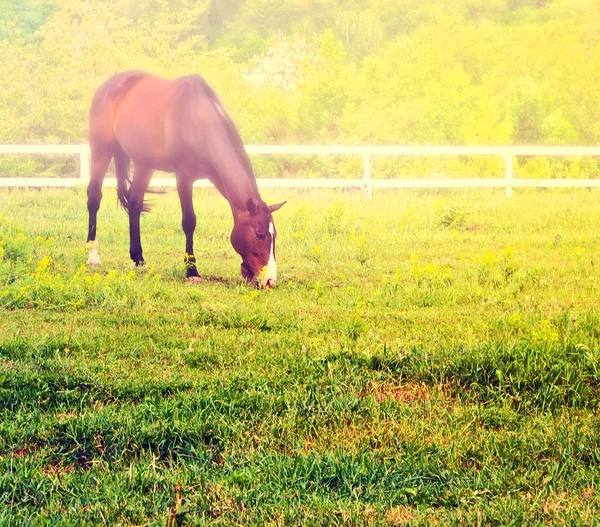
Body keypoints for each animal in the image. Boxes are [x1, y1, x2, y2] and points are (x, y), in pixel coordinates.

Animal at [84, 70, 286, 288]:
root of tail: (108, 86)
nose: (269, 280)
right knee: (94, 198)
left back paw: (139, 260)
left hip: (143, 164)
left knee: (135, 204)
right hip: (101, 152)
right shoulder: (184, 176)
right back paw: (93, 256)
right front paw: (192, 271)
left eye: (274, 235)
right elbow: (189, 221)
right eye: (259, 234)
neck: (198, 118)